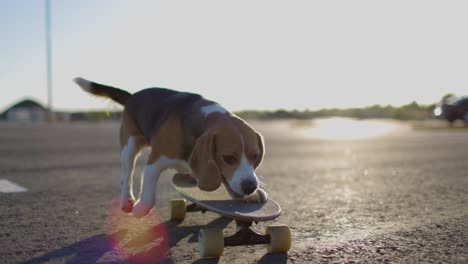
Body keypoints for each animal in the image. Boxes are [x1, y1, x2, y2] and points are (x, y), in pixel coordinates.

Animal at [75, 77, 268, 218]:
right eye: (228, 158)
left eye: (255, 156)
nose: (250, 187)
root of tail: (133, 95)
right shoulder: (156, 160)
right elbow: (148, 189)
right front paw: (142, 208)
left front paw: (253, 195)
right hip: (129, 145)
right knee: (126, 175)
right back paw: (127, 200)